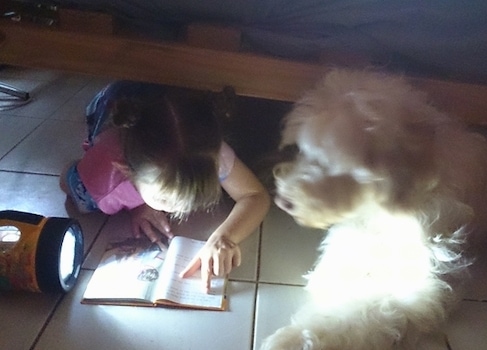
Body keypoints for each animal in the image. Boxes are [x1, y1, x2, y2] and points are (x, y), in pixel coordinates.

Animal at [264, 69, 487, 350]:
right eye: (304, 150)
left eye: (331, 162)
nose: (283, 200)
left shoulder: (421, 285)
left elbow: (364, 313)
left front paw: (295, 338)